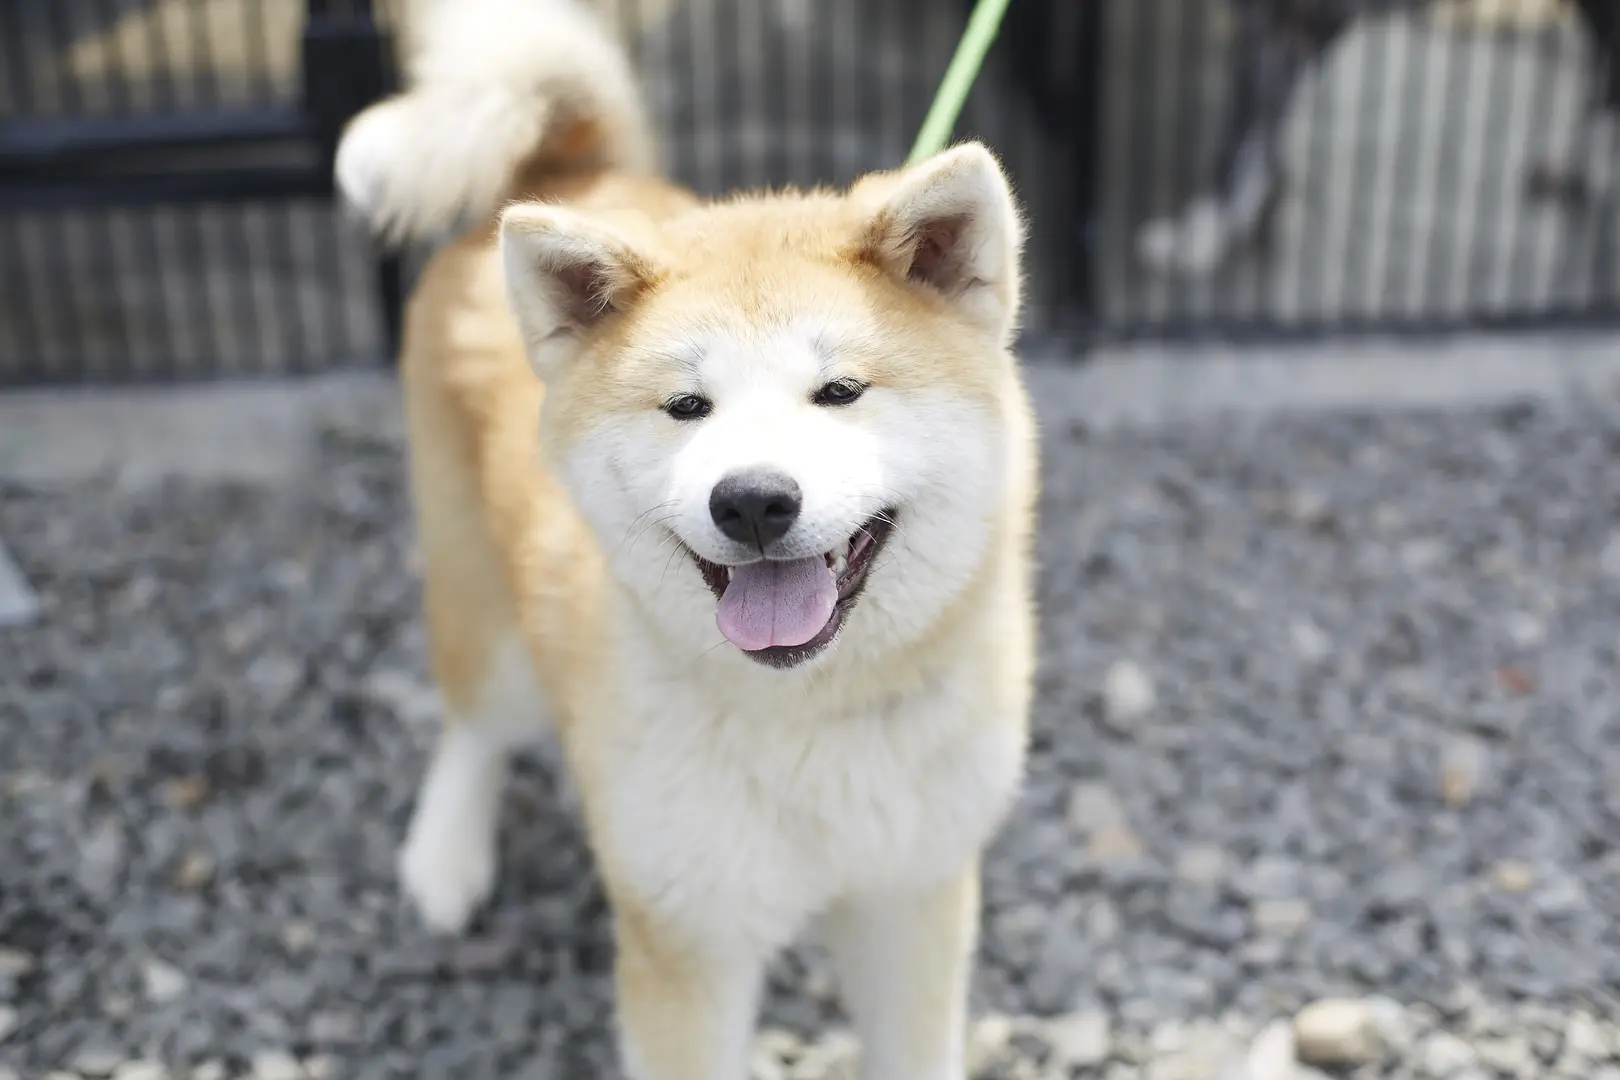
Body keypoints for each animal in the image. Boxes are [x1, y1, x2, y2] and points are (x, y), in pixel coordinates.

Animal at [333, 0, 1036, 1075]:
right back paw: (445, 854)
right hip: (484, 603)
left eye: (840, 391)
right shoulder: (686, 930)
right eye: (686, 407)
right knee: (475, 724)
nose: (751, 501)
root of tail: (572, 167)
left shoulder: (910, 895)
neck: (806, 718)